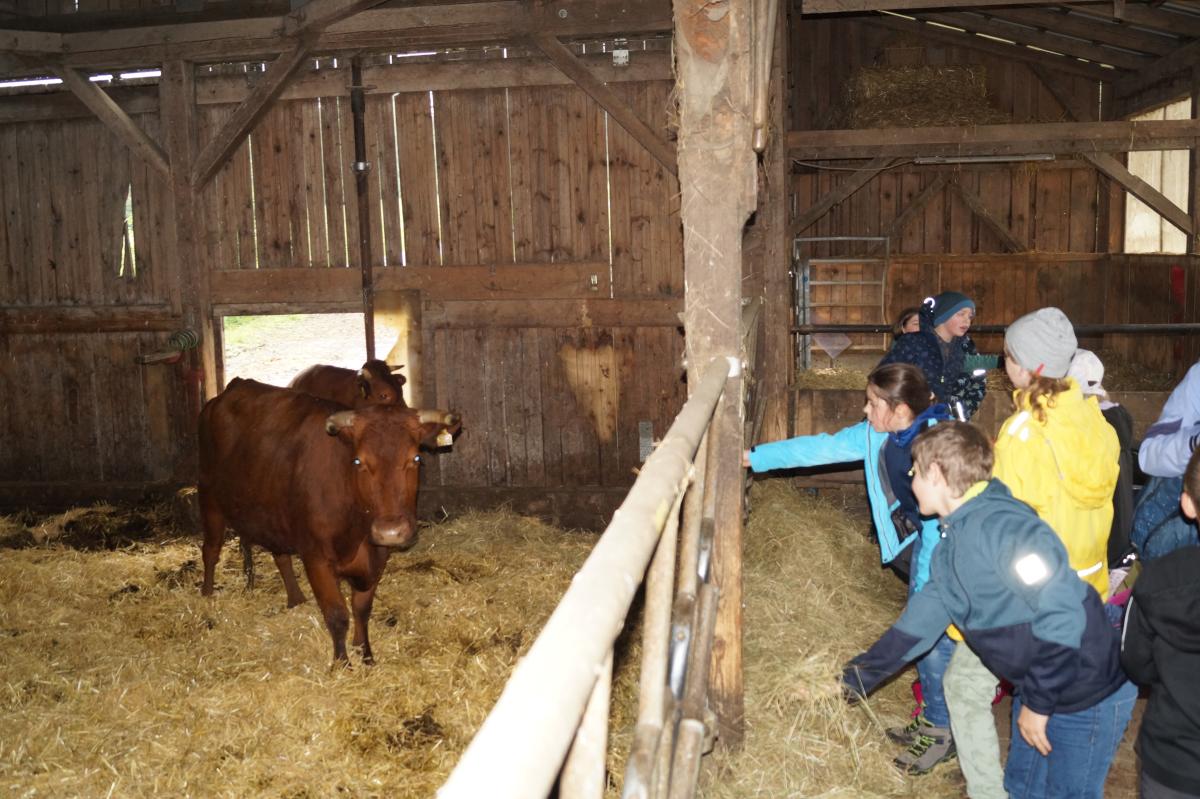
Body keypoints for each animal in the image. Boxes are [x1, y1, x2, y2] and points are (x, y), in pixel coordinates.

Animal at [196, 376, 458, 662]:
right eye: (358, 461)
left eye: (416, 458)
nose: (391, 531)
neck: (356, 529)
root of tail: (234, 386)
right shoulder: (316, 559)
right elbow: (337, 615)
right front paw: (342, 663)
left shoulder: (377, 557)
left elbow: (361, 609)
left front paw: (365, 653)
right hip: (209, 498)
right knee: (210, 550)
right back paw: (207, 596)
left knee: (280, 555)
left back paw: (296, 598)